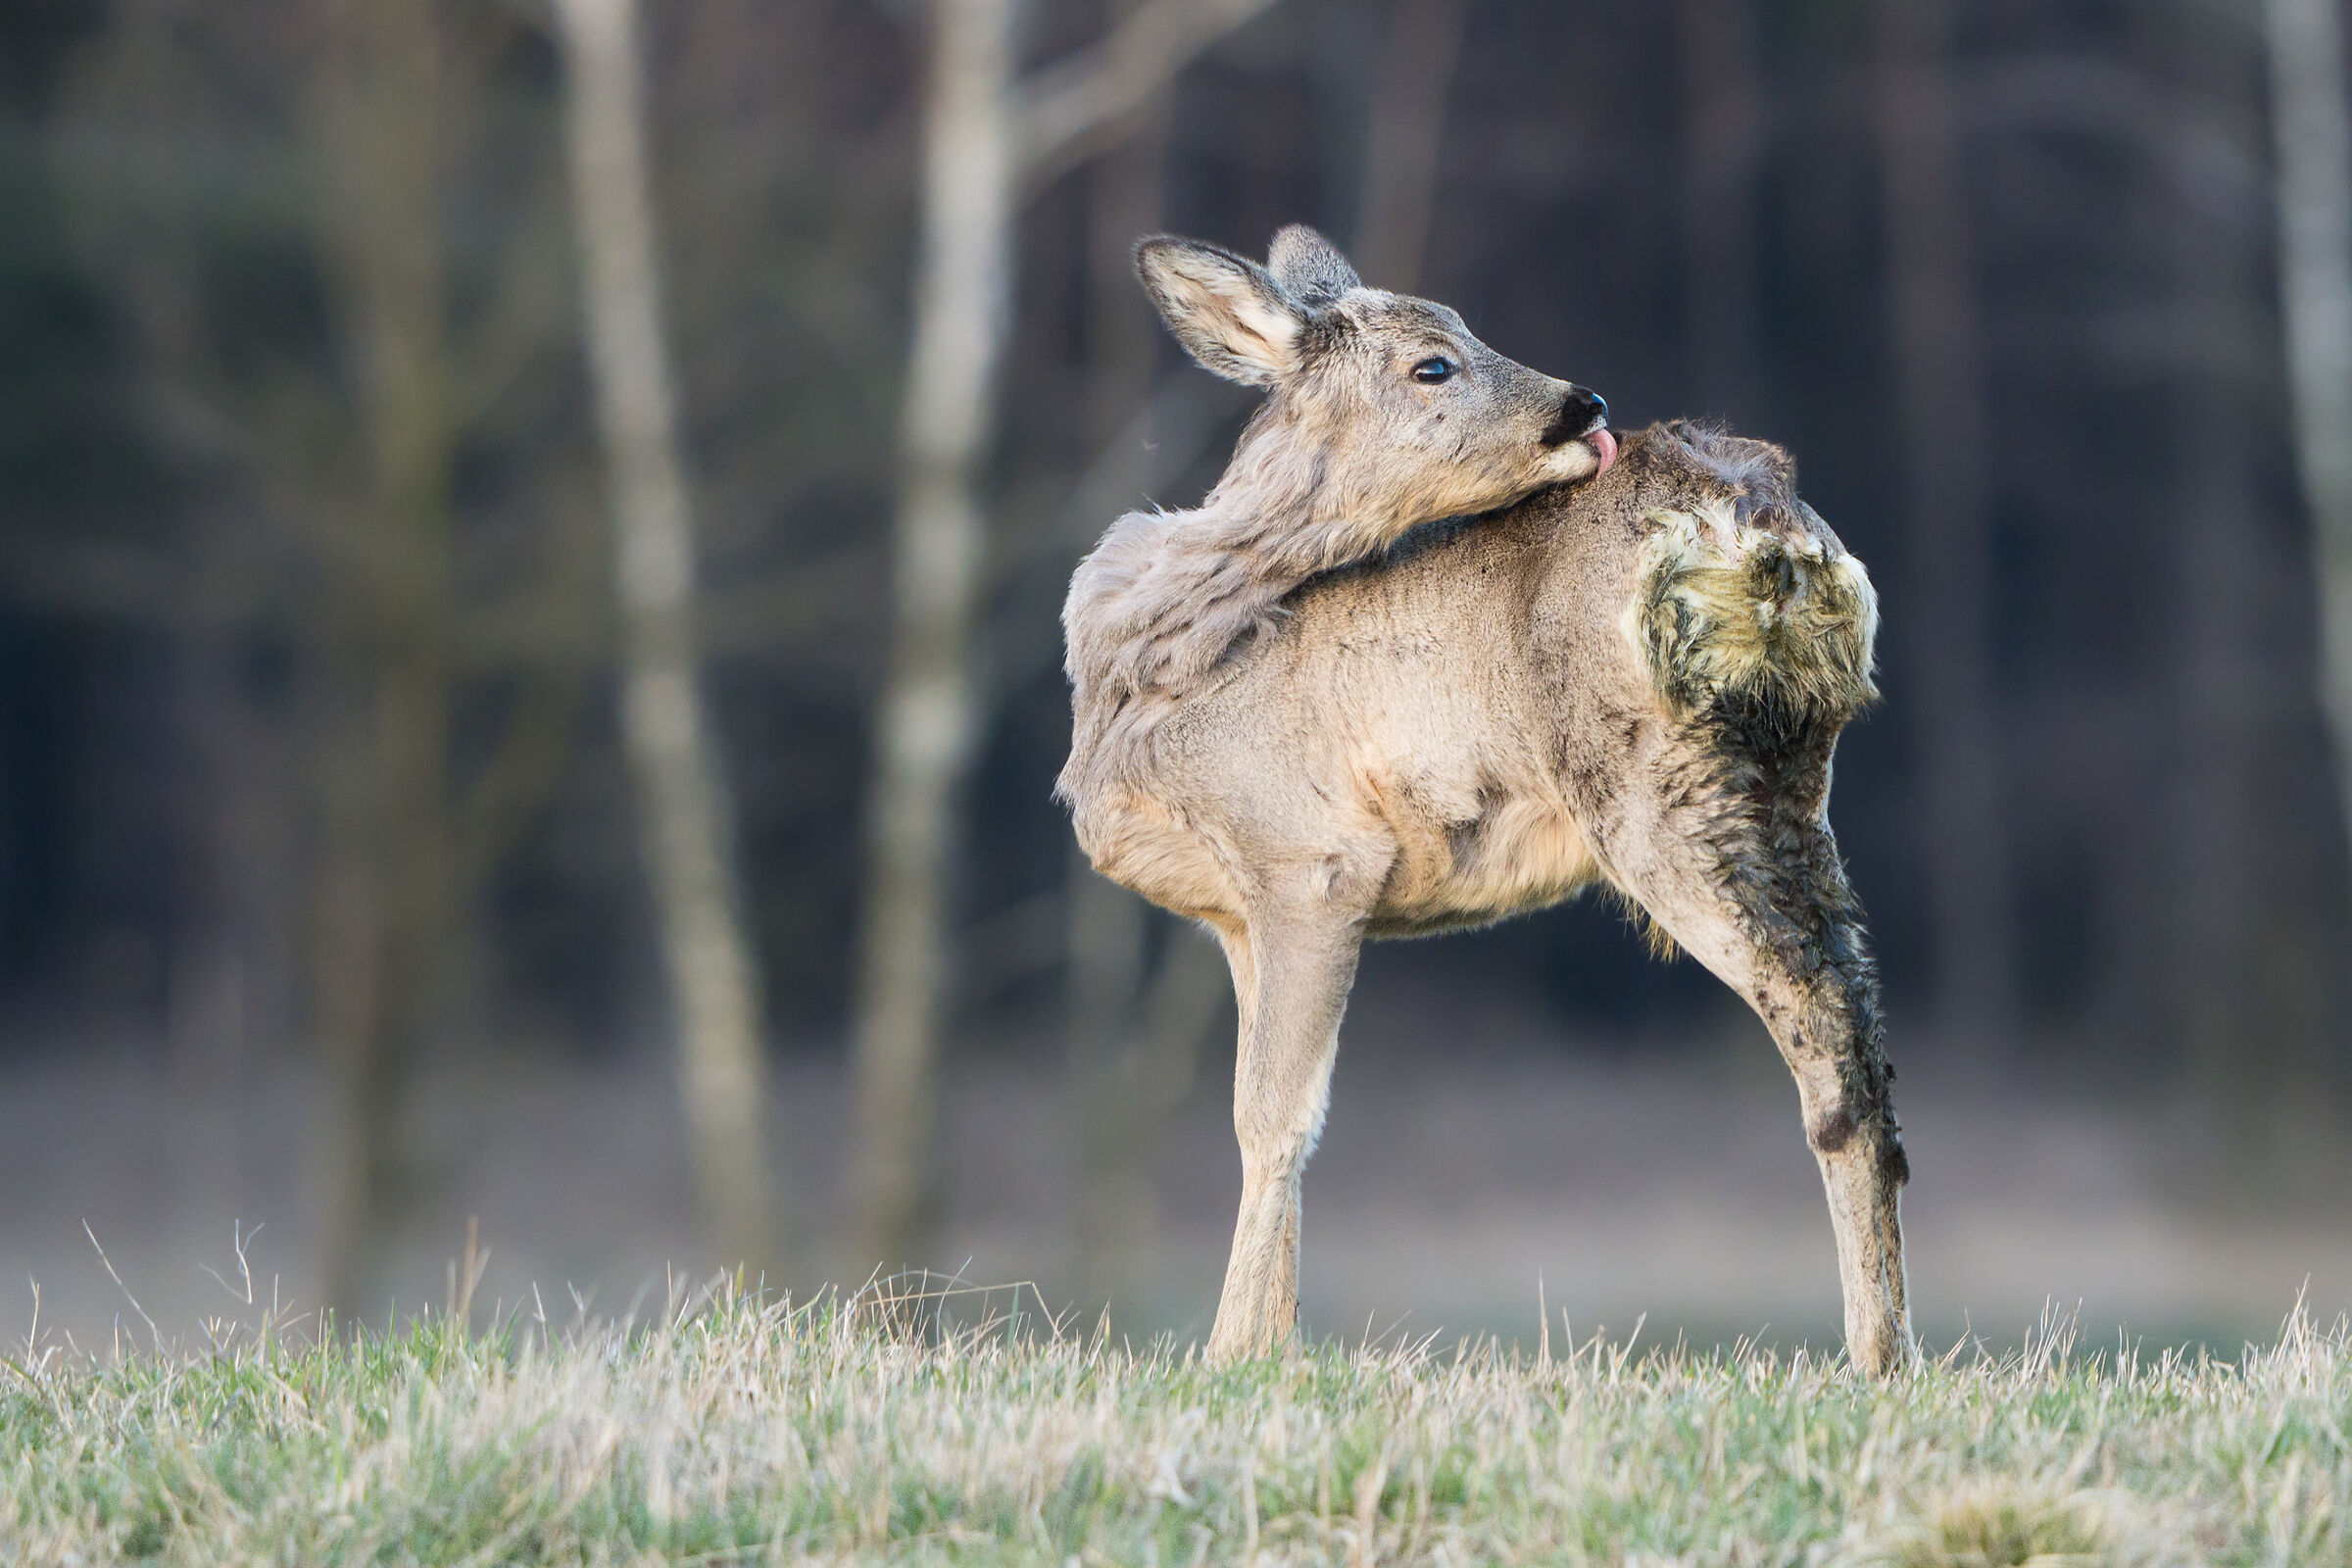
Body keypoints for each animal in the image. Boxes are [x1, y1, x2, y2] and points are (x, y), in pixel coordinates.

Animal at [1058, 226, 1911, 1376]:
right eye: (1434, 363)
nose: (1585, 404)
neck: (1173, 658)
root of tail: (1769, 532)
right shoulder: (1238, 913)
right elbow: (1275, 1110)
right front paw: (1275, 1345)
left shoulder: (1312, 857)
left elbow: (1273, 1117)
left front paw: (1233, 1354)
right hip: (1792, 781)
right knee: (1863, 1017)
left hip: (1658, 792)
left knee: (1826, 1035)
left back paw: (1873, 1358)